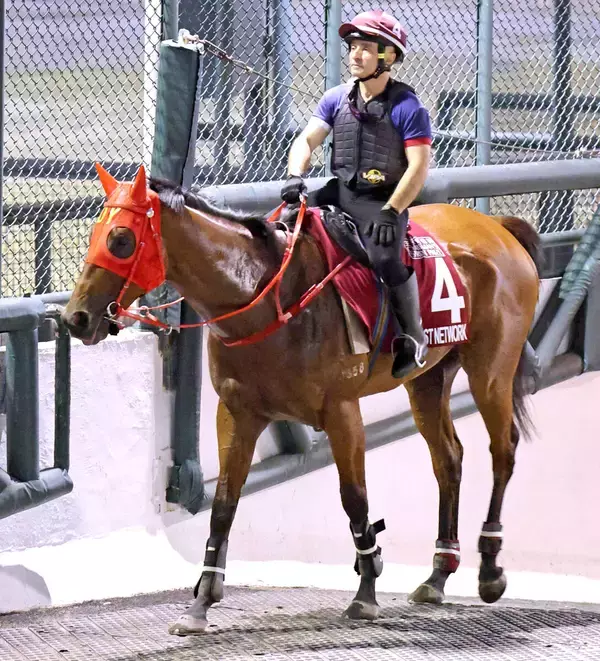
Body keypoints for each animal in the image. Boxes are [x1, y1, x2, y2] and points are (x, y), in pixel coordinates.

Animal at [62, 164, 540, 635]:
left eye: (121, 240)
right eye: (94, 233)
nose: (75, 318)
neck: (267, 295)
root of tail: (499, 227)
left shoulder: (342, 411)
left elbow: (355, 498)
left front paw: (366, 591)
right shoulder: (237, 413)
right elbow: (223, 505)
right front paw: (201, 602)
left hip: (491, 370)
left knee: (503, 450)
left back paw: (490, 570)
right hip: (428, 379)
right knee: (448, 458)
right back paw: (439, 574)